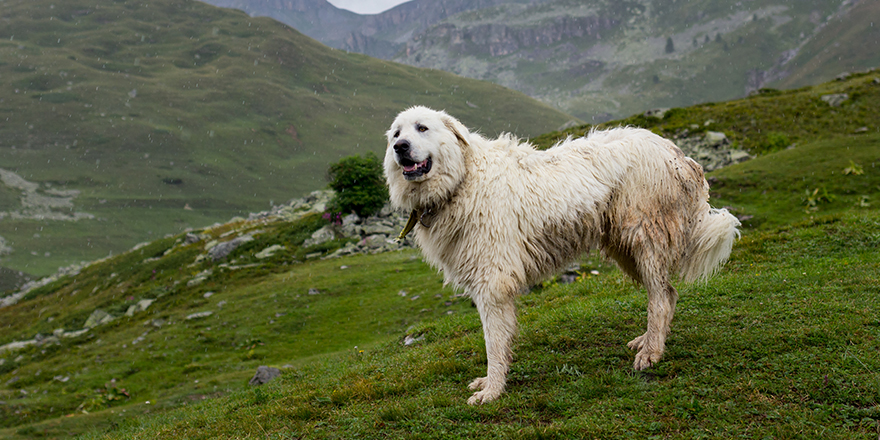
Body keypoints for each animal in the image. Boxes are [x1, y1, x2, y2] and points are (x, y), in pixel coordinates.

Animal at [382, 105, 740, 402]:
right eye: (397, 133)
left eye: (422, 128)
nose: (401, 148)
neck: (463, 180)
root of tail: (677, 153)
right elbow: (500, 341)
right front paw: (491, 383)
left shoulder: (493, 283)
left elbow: (493, 342)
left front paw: (492, 390)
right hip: (626, 248)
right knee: (668, 293)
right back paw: (650, 340)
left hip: (644, 238)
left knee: (661, 298)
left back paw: (651, 353)